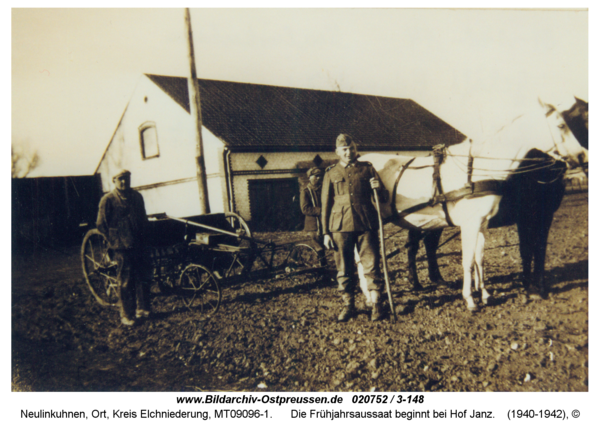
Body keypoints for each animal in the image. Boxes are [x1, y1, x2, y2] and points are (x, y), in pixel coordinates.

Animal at [358, 100, 588, 310]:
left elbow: (480, 258)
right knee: (363, 257)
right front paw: (470, 299)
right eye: (561, 125)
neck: (480, 167)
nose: (582, 156)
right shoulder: (474, 224)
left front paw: (485, 295)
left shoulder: (483, 223)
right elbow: (469, 260)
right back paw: (373, 297)